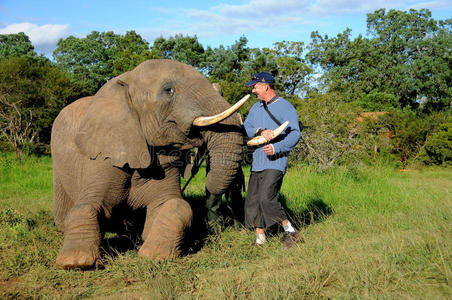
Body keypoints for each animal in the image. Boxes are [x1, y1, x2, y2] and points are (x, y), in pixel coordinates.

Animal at [50, 59, 258, 270]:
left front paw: (154, 254)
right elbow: (86, 205)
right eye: (168, 90)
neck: (127, 79)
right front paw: (75, 261)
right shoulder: (103, 156)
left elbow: (176, 205)